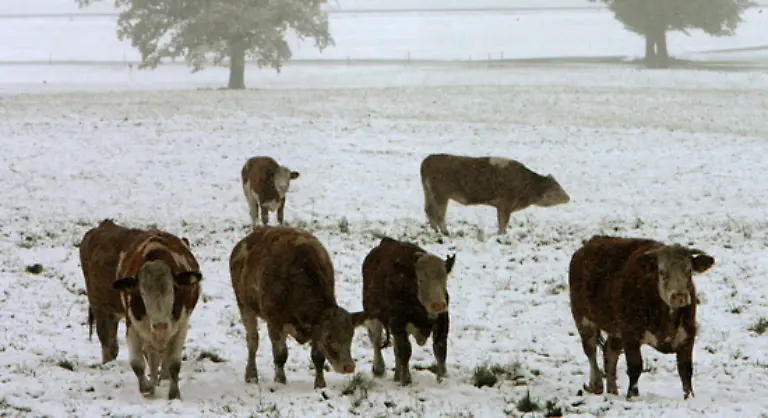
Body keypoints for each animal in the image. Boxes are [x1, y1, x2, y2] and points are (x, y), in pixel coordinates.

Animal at [79, 219, 203, 400]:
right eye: (141, 292)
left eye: (173, 289)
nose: (160, 325)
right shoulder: (133, 324)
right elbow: (137, 363)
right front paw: (147, 388)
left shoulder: (181, 325)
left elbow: (173, 363)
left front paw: (173, 394)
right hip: (100, 308)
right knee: (110, 345)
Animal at [229, 226, 368, 389]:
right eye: (328, 337)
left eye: (351, 335)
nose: (348, 366)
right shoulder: (274, 322)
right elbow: (280, 355)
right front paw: (280, 381)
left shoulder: (316, 330)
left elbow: (318, 357)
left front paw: (320, 384)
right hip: (244, 306)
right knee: (252, 340)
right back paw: (251, 375)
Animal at [362, 237, 456, 386]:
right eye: (421, 280)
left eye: (444, 279)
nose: (438, 305)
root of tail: (386, 242)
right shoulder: (398, 321)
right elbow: (405, 350)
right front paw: (406, 379)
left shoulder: (442, 320)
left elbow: (440, 349)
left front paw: (442, 377)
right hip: (372, 315)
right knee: (376, 339)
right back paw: (379, 368)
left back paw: (396, 375)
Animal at [419, 153, 570, 235]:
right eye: (556, 188)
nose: (568, 197)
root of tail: (429, 159)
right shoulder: (506, 204)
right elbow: (503, 222)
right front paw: (502, 234)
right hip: (441, 196)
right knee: (439, 214)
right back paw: (445, 232)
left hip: (429, 193)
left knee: (428, 210)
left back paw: (436, 231)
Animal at [568, 235, 715, 400]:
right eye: (662, 272)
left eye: (689, 271)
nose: (679, 296)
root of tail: (591, 242)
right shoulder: (630, 333)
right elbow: (635, 366)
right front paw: (632, 396)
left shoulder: (688, 334)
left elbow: (686, 370)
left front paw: (689, 397)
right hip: (582, 318)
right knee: (590, 350)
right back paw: (598, 385)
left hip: (616, 328)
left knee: (610, 351)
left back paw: (612, 391)